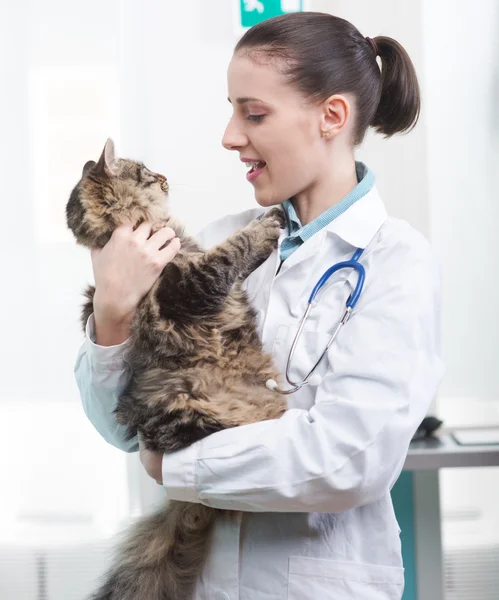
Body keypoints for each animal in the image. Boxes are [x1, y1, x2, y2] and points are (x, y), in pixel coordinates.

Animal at [65, 138, 288, 596]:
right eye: (147, 172)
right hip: (185, 409)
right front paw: (264, 226)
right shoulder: (185, 286)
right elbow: (231, 251)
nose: (165, 177)